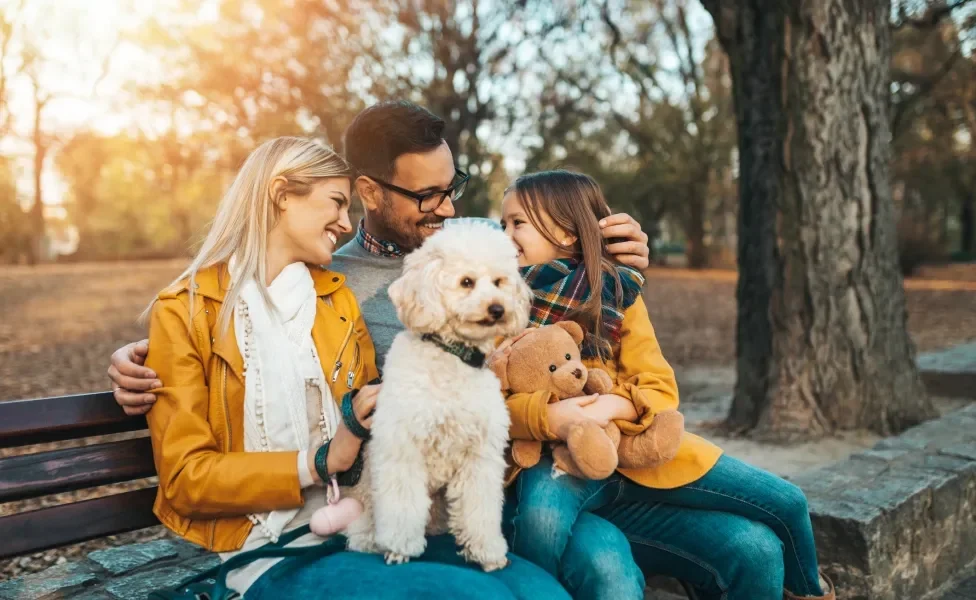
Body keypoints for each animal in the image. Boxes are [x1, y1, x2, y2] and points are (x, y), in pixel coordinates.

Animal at [346, 220, 532, 572]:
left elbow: (480, 511)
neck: (453, 357)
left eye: (499, 282)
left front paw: (487, 552)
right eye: (466, 282)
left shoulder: (480, 458)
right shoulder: (402, 449)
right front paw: (400, 548)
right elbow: (402, 506)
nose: (498, 309)